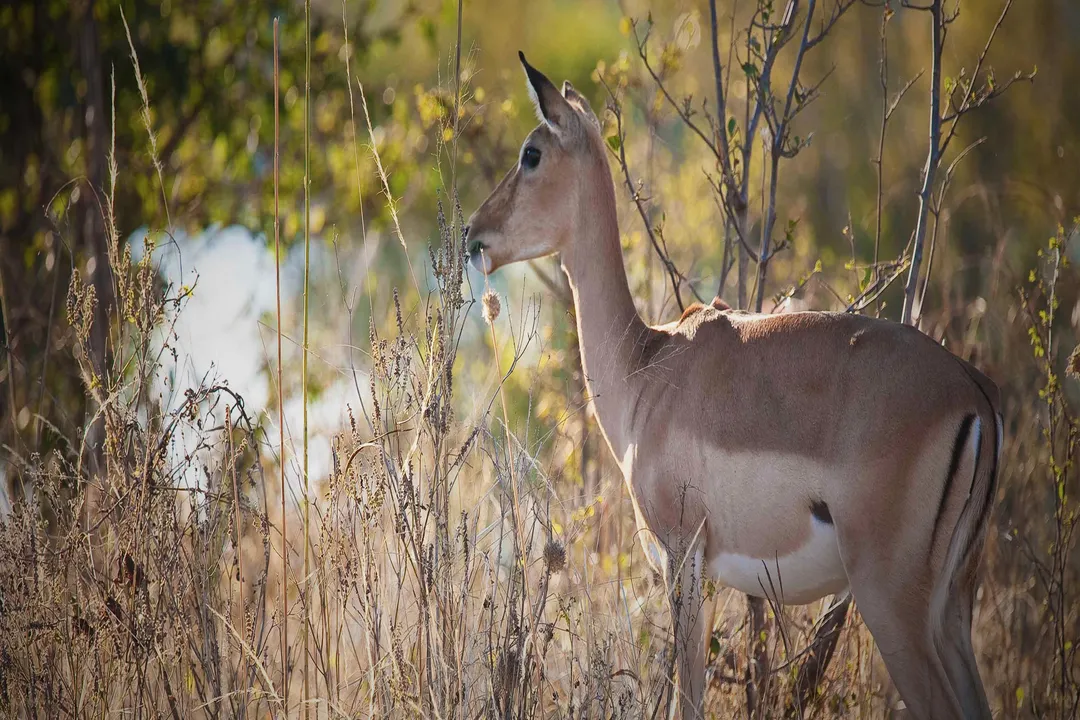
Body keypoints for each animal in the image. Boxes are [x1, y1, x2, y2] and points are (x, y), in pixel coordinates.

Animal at [465, 53, 1002, 720]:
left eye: (532, 153)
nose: (474, 234)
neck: (646, 365)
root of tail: (974, 395)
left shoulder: (683, 558)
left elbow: (688, 698)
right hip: (952, 608)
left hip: (892, 604)